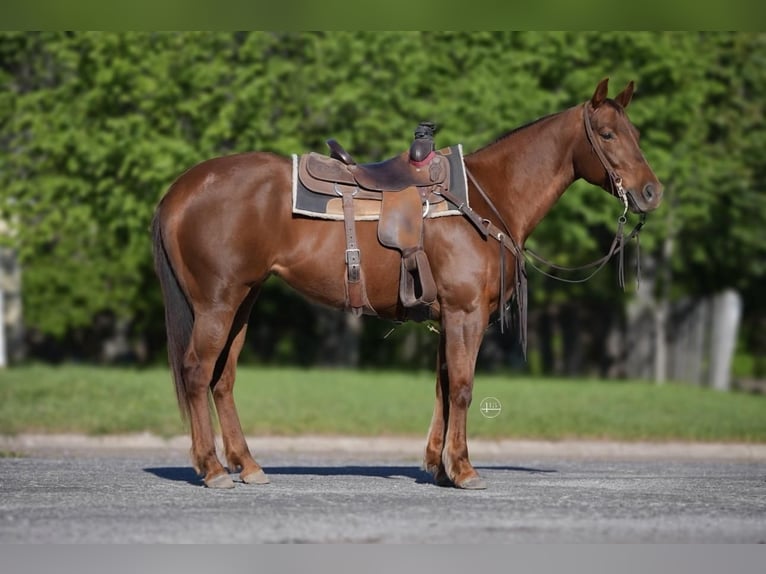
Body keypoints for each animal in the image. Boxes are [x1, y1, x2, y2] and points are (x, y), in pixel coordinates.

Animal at [152, 76, 664, 490]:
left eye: (636, 134)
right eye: (607, 134)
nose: (651, 192)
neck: (485, 199)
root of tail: (180, 191)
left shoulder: (448, 317)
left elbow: (442, 386)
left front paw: (439, 467)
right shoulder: (465, 313)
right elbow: (462, 387)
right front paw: (464, 470)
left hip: (243, 301)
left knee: (223, 379)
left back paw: (247, 465)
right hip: (217, 302)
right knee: (197, 371)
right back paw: (212, 469)